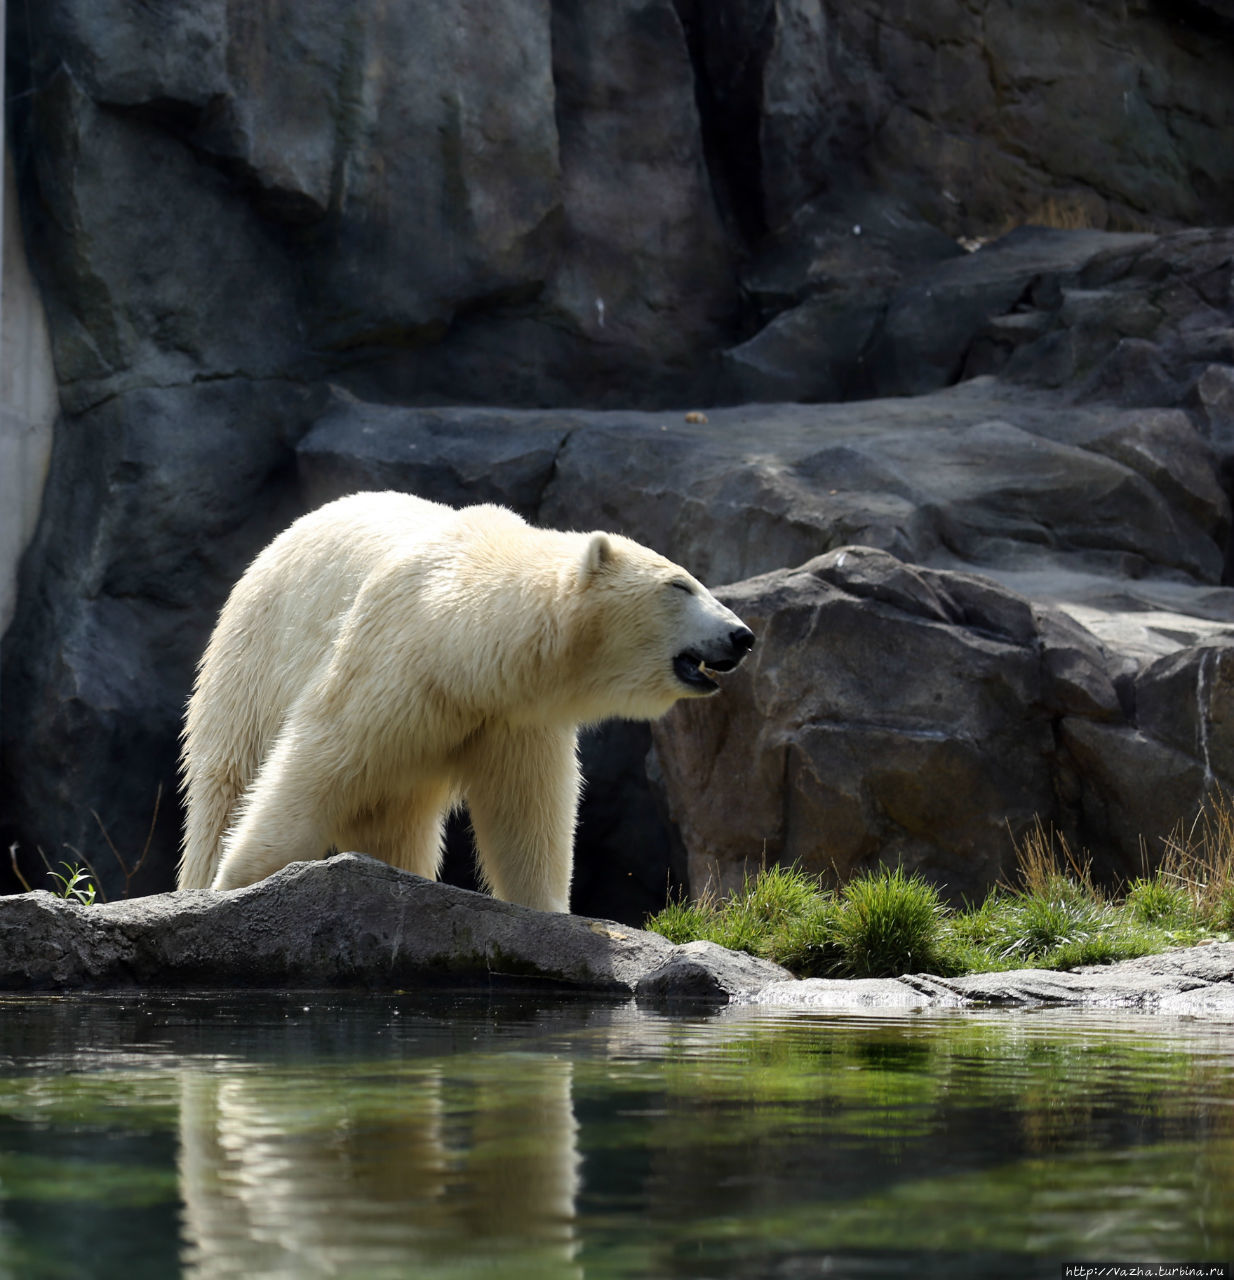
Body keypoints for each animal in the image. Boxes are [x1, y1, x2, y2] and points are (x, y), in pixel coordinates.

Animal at [174, 488, 752, 911]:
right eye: (680, 586)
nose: (742, 636)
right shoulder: (389, 664)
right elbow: (313, 763)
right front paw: (237, 882)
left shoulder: (514, 715)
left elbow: (526, 813)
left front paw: (546, 908)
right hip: (253, 655)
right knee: (227, 781)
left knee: (397, 823)